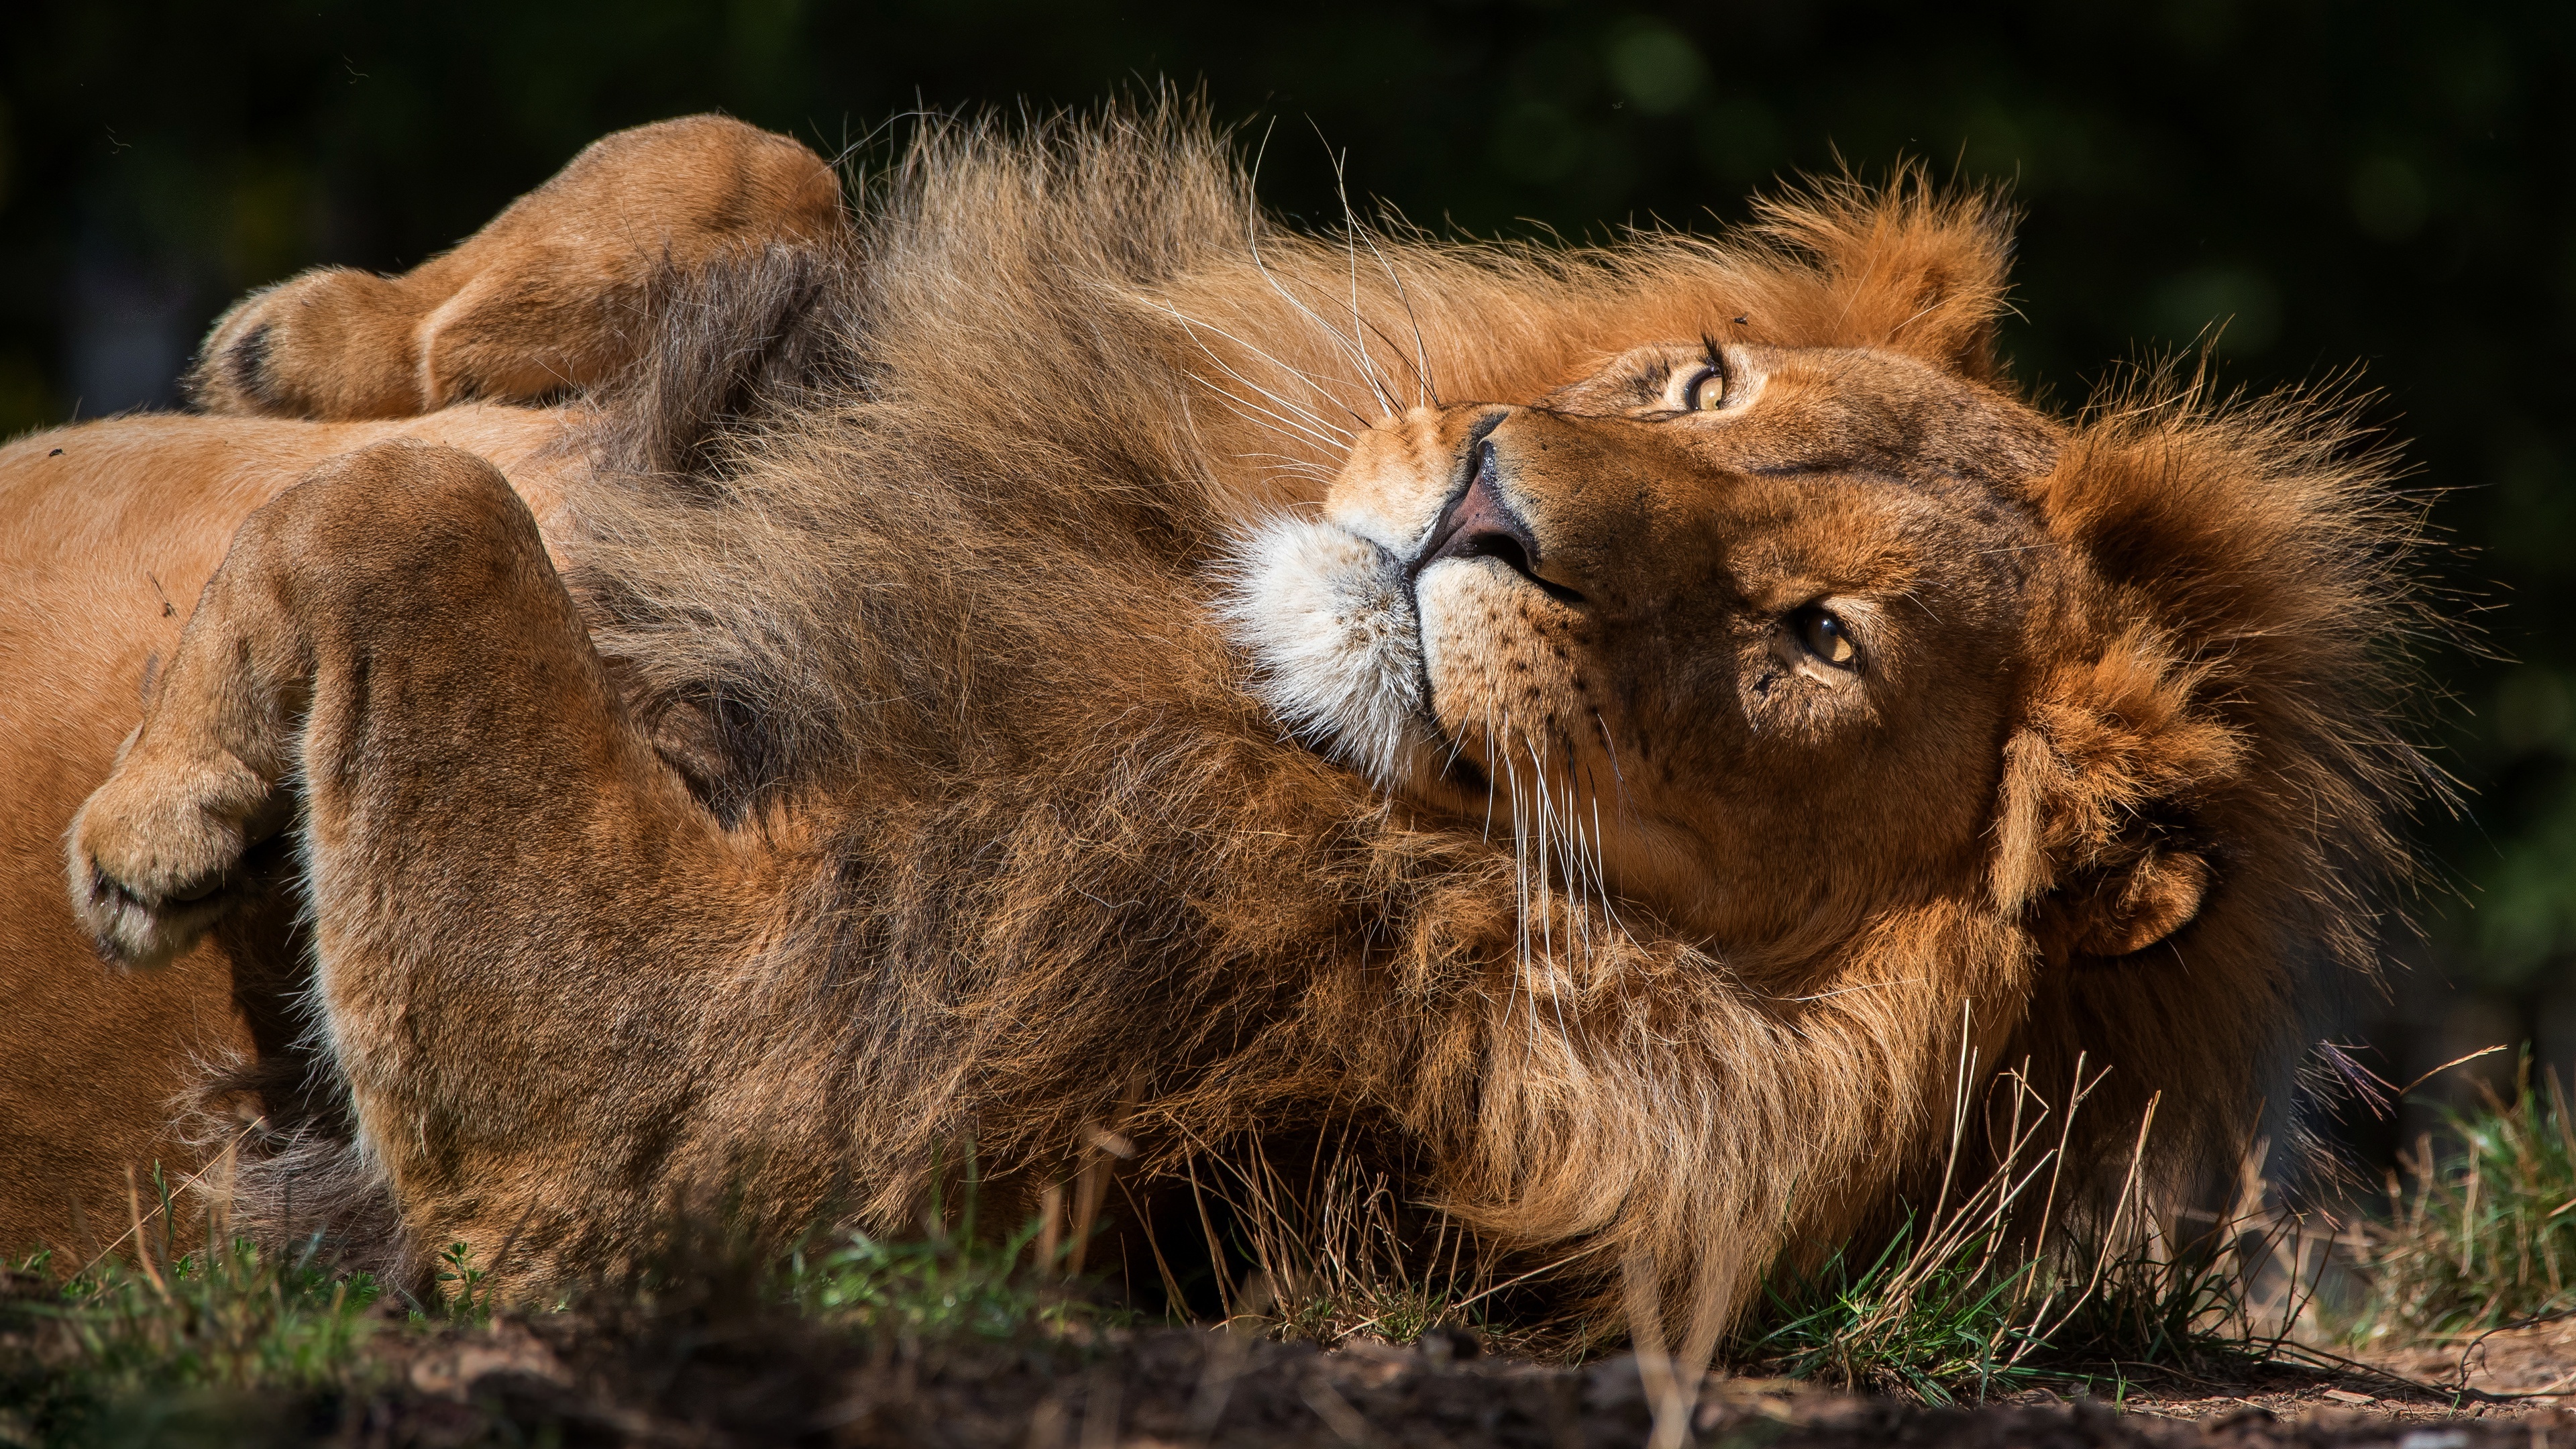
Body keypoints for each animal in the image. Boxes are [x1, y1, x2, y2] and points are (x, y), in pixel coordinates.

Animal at [0, 113, 2421, 1350]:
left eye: (1814, 640)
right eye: (1705, 383)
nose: (1487, 501)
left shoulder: (681, 1128)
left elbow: (421, 512)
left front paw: (160, 813)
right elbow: (738, 160)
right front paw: (316, 339)